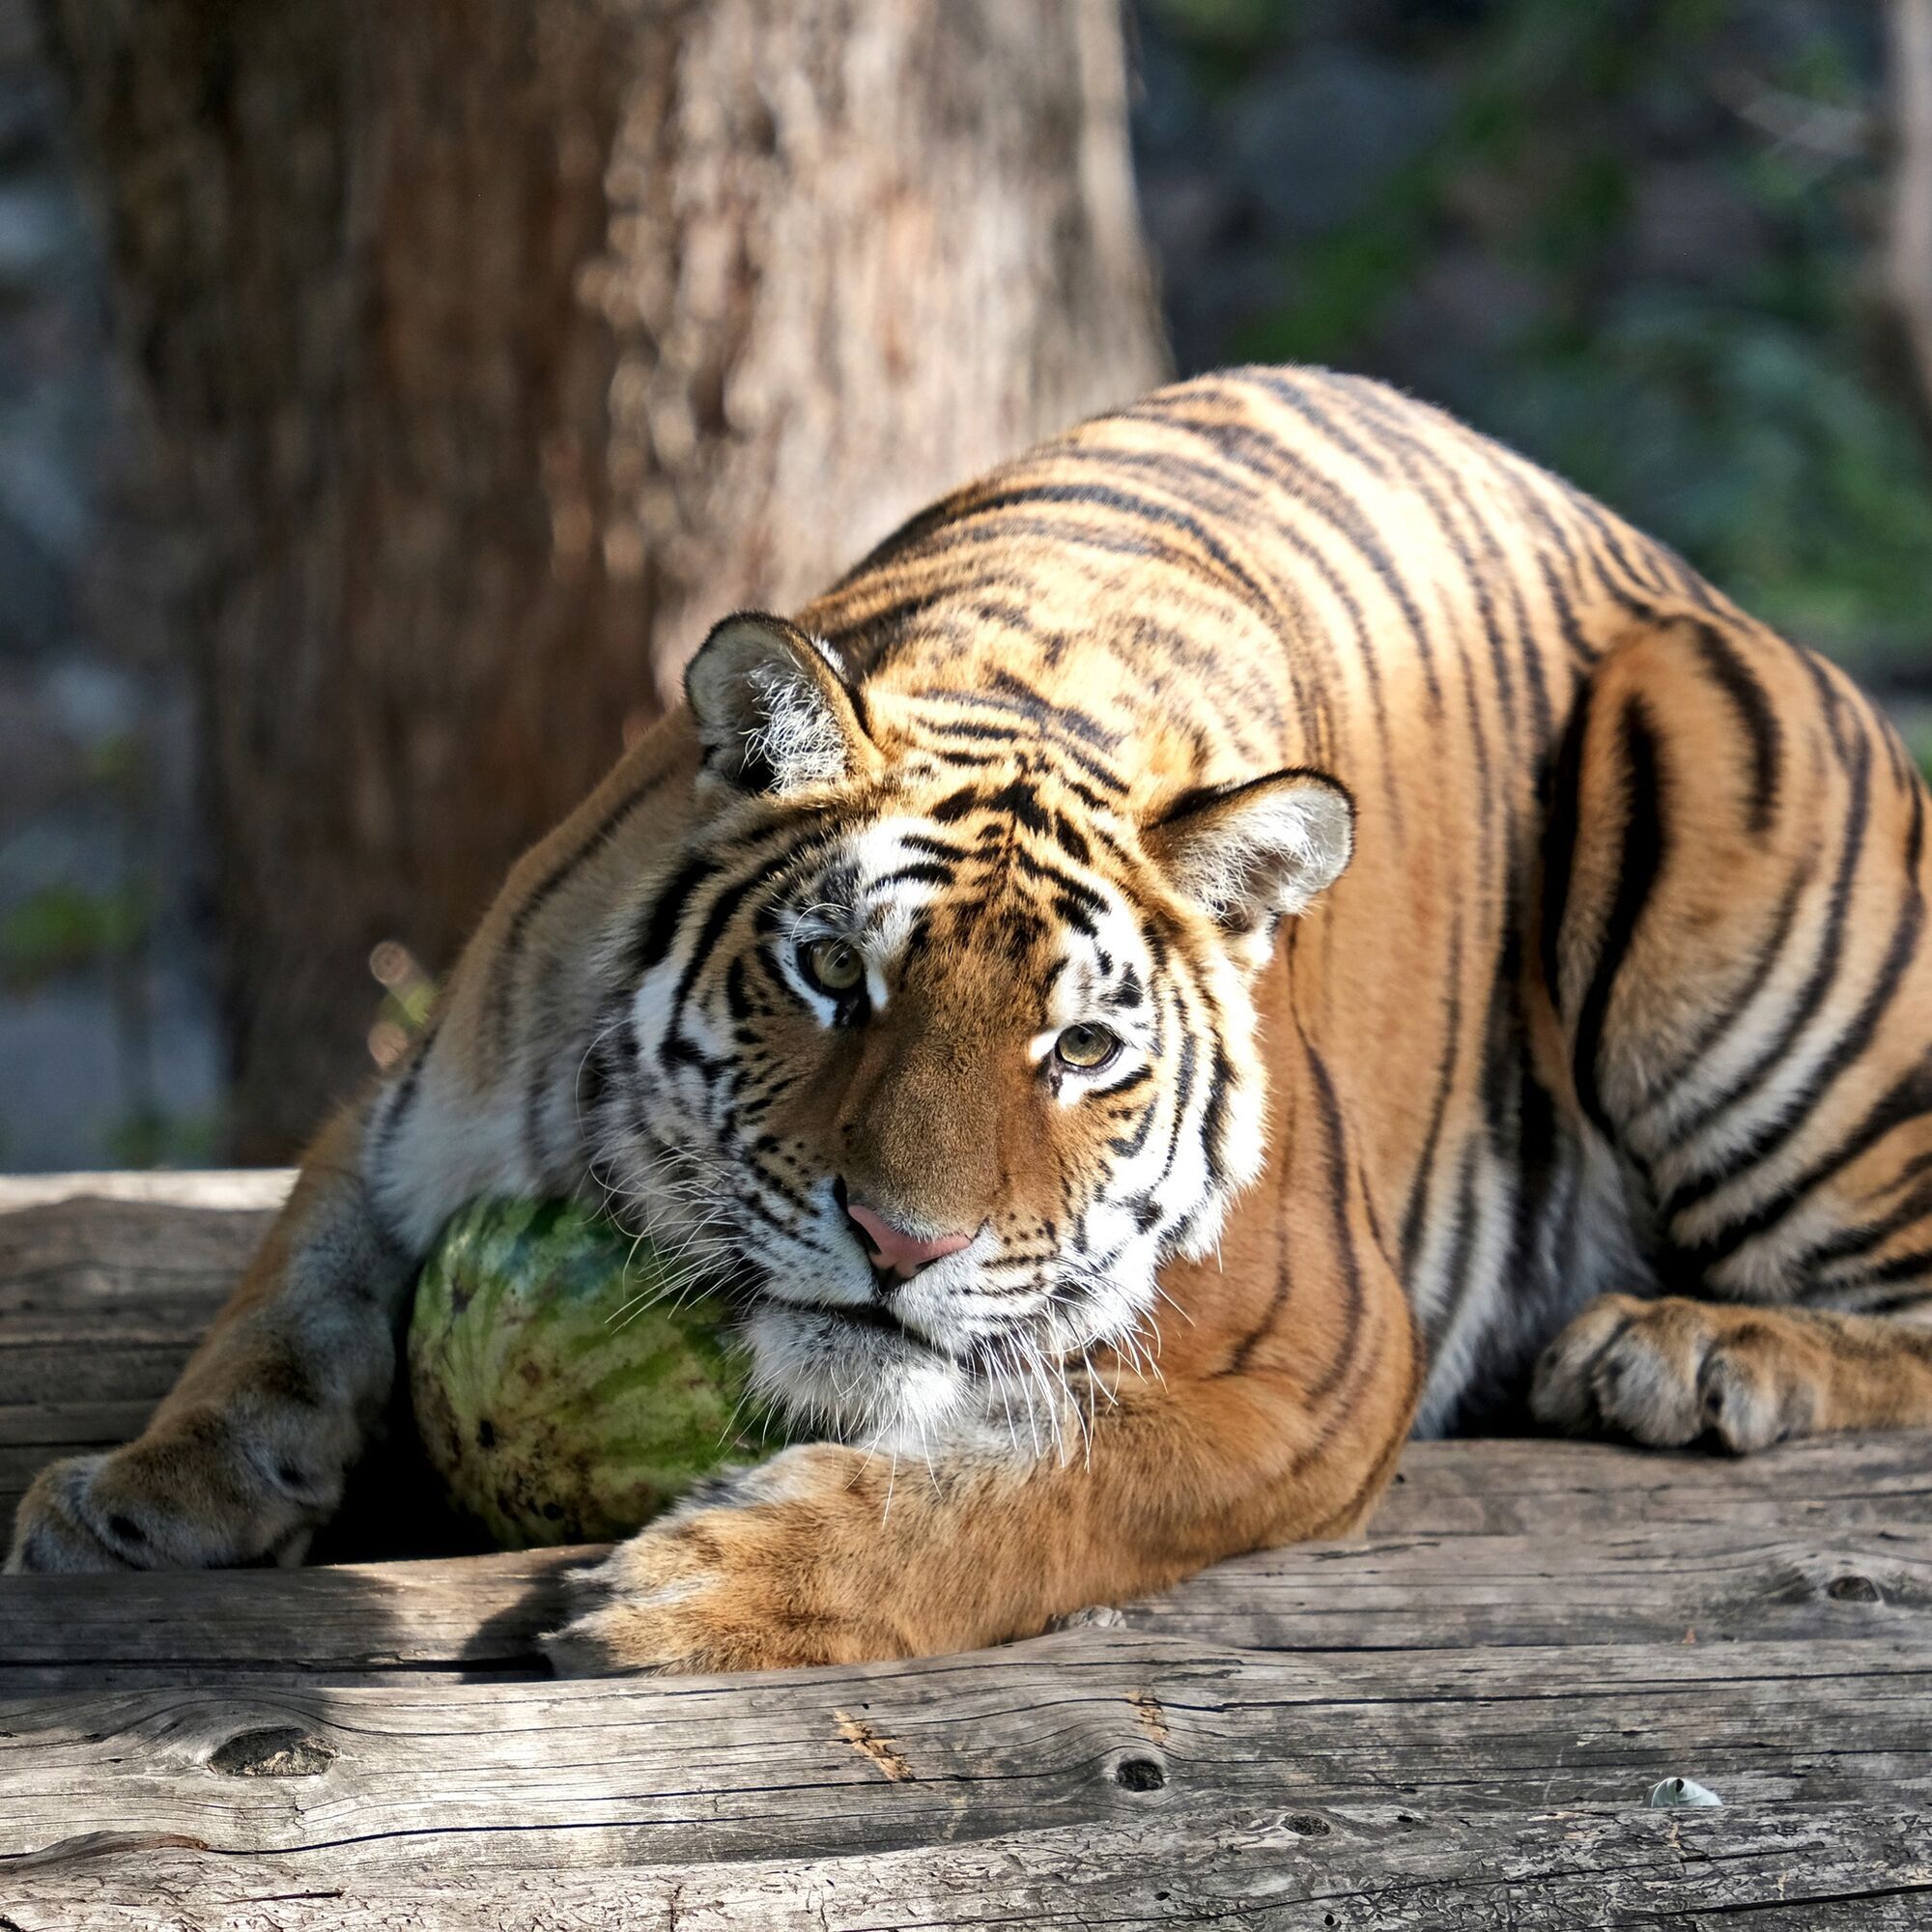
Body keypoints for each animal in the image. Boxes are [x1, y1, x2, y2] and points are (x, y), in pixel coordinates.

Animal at [11, 365, 1932, 1677]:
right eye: (832, 978)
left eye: (1081, 1051)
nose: (899, 1243)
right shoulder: (408, 1117)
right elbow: (278, 1313)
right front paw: (140, 1497)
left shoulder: (1313, 1366)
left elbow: (1042, 1492)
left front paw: (704, 1590)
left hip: (1717, 797)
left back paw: (1694, 1354)